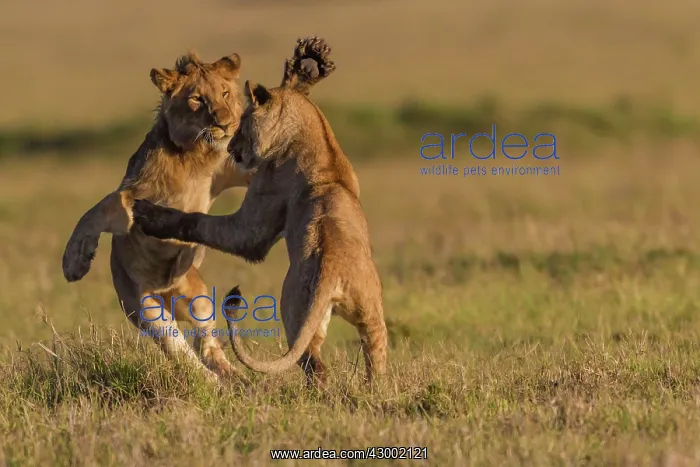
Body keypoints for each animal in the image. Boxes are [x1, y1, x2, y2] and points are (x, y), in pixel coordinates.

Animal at [61, 37, 336, 382]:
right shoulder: (133, 191)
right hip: (146, 308)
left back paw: (230, 373)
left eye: (225, 93)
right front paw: (74, 263)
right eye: (196, 99)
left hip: (199, 297)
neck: (194, 156)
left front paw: (307, 70)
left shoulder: (235, 167)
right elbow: (95, 212)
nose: (225, 122)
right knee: (179, 351)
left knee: (206, 343)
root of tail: (168, 290)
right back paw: (210, 381)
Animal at [130, 40, 388, 388]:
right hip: (372, 317)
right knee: (374, 358)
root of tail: (332, 271)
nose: (229, 147)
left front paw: (147, 213)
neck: (319, 137)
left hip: (295, 311)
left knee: (315, 365)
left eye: (242, 123)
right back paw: (376, 392)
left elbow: (200, 223)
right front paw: (305, 69)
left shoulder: (254, 222)